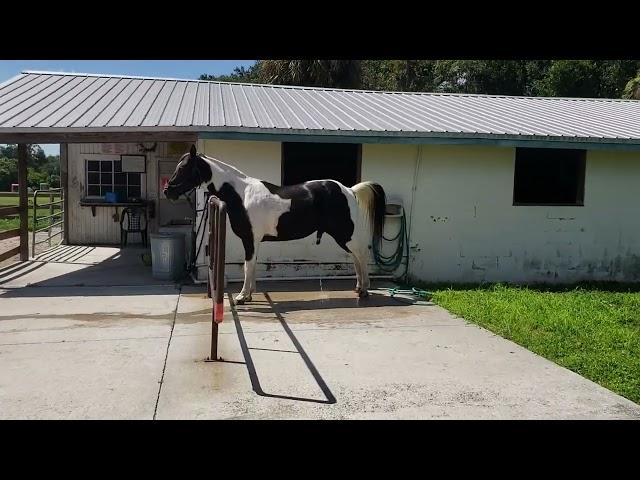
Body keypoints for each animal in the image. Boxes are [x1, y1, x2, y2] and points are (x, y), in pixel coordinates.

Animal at [164, 144, 384, 306]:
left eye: (183, 168)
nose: (168, 191)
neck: (241, 195)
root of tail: (349, 190)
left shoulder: (250, 239)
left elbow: (247, 266)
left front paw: (242, 297)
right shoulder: (253, 241)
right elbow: (252, 265)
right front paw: (249, 294)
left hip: (345, 233)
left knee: (361, 255)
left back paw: (364, 290)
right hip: (343, 235)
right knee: (356, 257)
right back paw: (358, 288)